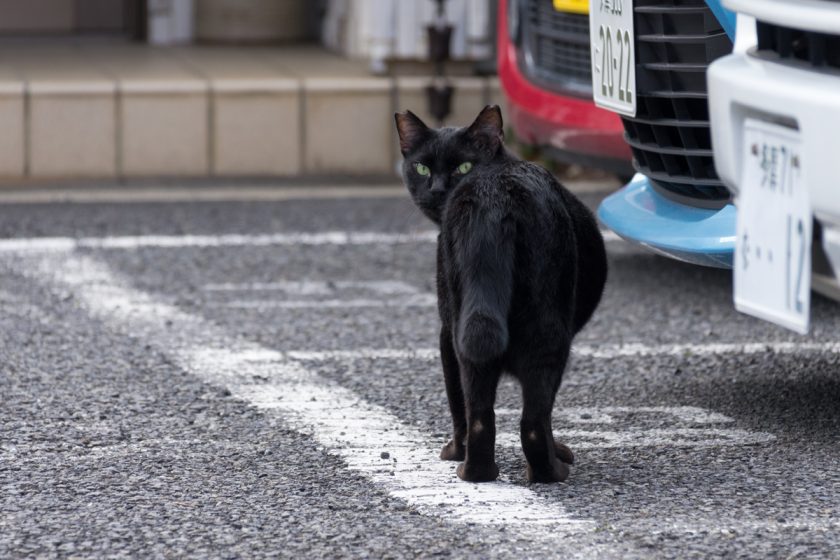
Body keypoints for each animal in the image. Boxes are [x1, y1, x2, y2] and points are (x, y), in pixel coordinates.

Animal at [398, 107, 608, 484]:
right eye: (422, 168)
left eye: (462, 166)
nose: (437, 189)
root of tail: (493, 197)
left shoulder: (446, 330)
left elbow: (457, 402)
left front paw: (454, 452)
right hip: (548, 331)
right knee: (532, 420)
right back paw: (548, 470)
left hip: (469, 328)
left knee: (481, 413)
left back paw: (474, 470)